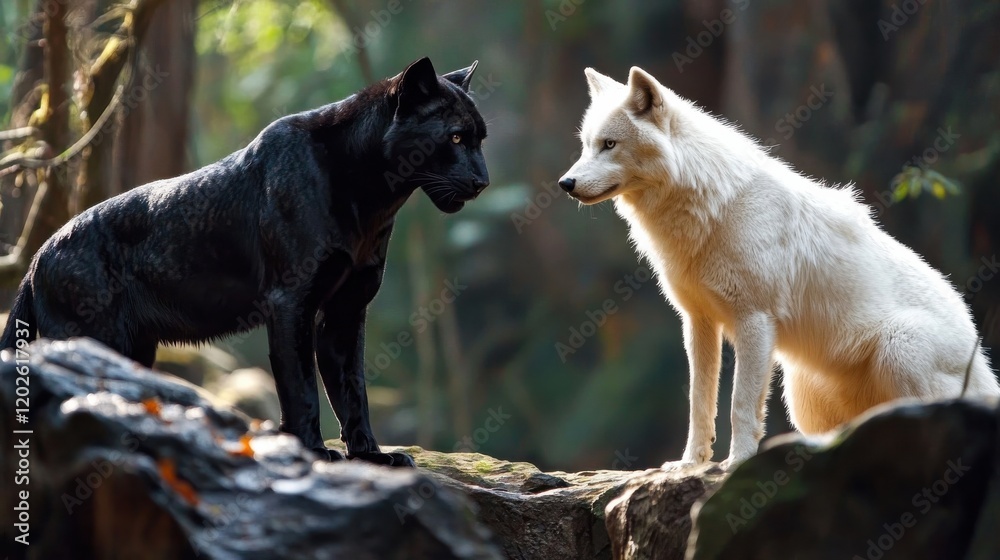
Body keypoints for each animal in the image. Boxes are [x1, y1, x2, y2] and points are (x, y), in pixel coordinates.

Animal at [0, 57, 489, 467]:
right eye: (456, 136)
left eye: (480, 138)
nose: (483, 181)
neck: (375, 199)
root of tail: (37, 256)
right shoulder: (291, 300)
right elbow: (302, 386)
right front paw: (314, 452)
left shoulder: (347, 310)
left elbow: (353, 389)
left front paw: (371, 456)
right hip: (92, 336)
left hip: (135, 348)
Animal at [558, 66, 1000, 470]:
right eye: (585, 146)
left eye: (610, 144)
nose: (565, 183)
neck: (712, 206)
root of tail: (984, 367)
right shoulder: (698, 322)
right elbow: (699, 403)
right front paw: (690, 464)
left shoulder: (754, 321)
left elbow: (739, 404)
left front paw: (736, 465)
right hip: (803, 395)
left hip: (898, 350)